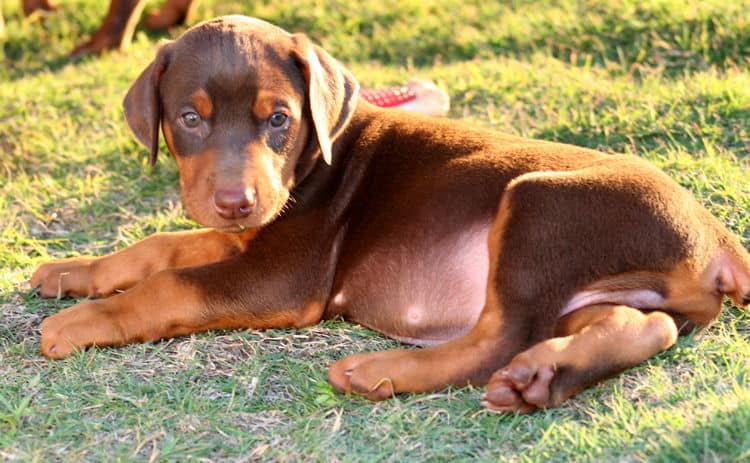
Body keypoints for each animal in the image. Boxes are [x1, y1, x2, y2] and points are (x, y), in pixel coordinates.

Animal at [30, 15, 750, 414]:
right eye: (188, 119)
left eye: (278, 119)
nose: (238, 202)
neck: (316, 158)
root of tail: (718, 236)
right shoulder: (247, 239)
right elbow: (160, 246)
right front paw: (72, 270)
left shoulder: (282, 276)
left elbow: (171, 285)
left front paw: (81, 320)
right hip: (599, 289)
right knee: (641, 326)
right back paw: (540, 378)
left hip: (538, 204)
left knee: (499, 337)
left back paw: (379, 371)